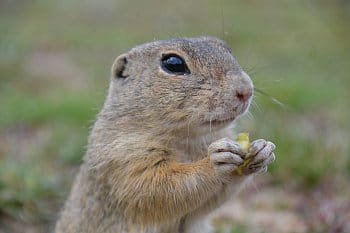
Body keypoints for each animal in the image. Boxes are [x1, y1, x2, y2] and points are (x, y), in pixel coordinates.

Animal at [54, 36, 274, 233]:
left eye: (226, 48)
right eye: (173, 64)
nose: (246, 90)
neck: (190, 139)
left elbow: (209, 202)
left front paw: (262, 150)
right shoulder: (124, 156)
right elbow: (156, 188)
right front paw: (214, 162)